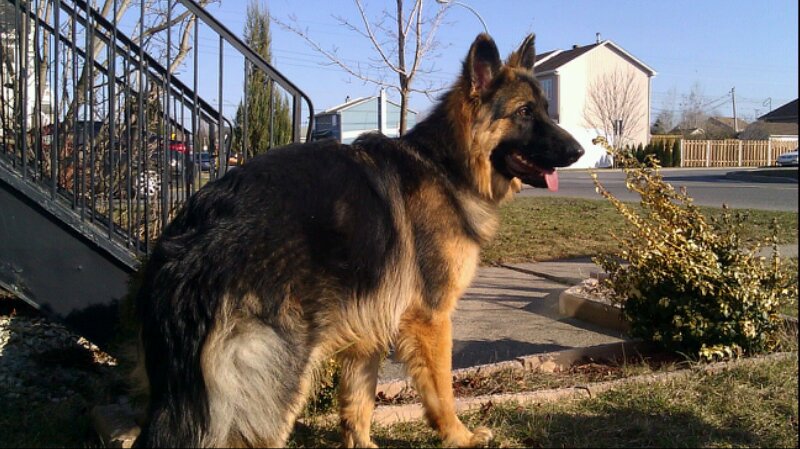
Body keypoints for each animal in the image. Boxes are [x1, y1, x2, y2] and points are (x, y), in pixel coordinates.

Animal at [134, 33, 584, 446]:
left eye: (545, 110)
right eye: (524, 112)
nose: (579, 150)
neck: (446, 167)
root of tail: (196, 234)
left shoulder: (367, 326)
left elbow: (358, 401)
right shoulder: (431, 319)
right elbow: (442, 390)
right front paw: (460, 436)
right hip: (276, 381)